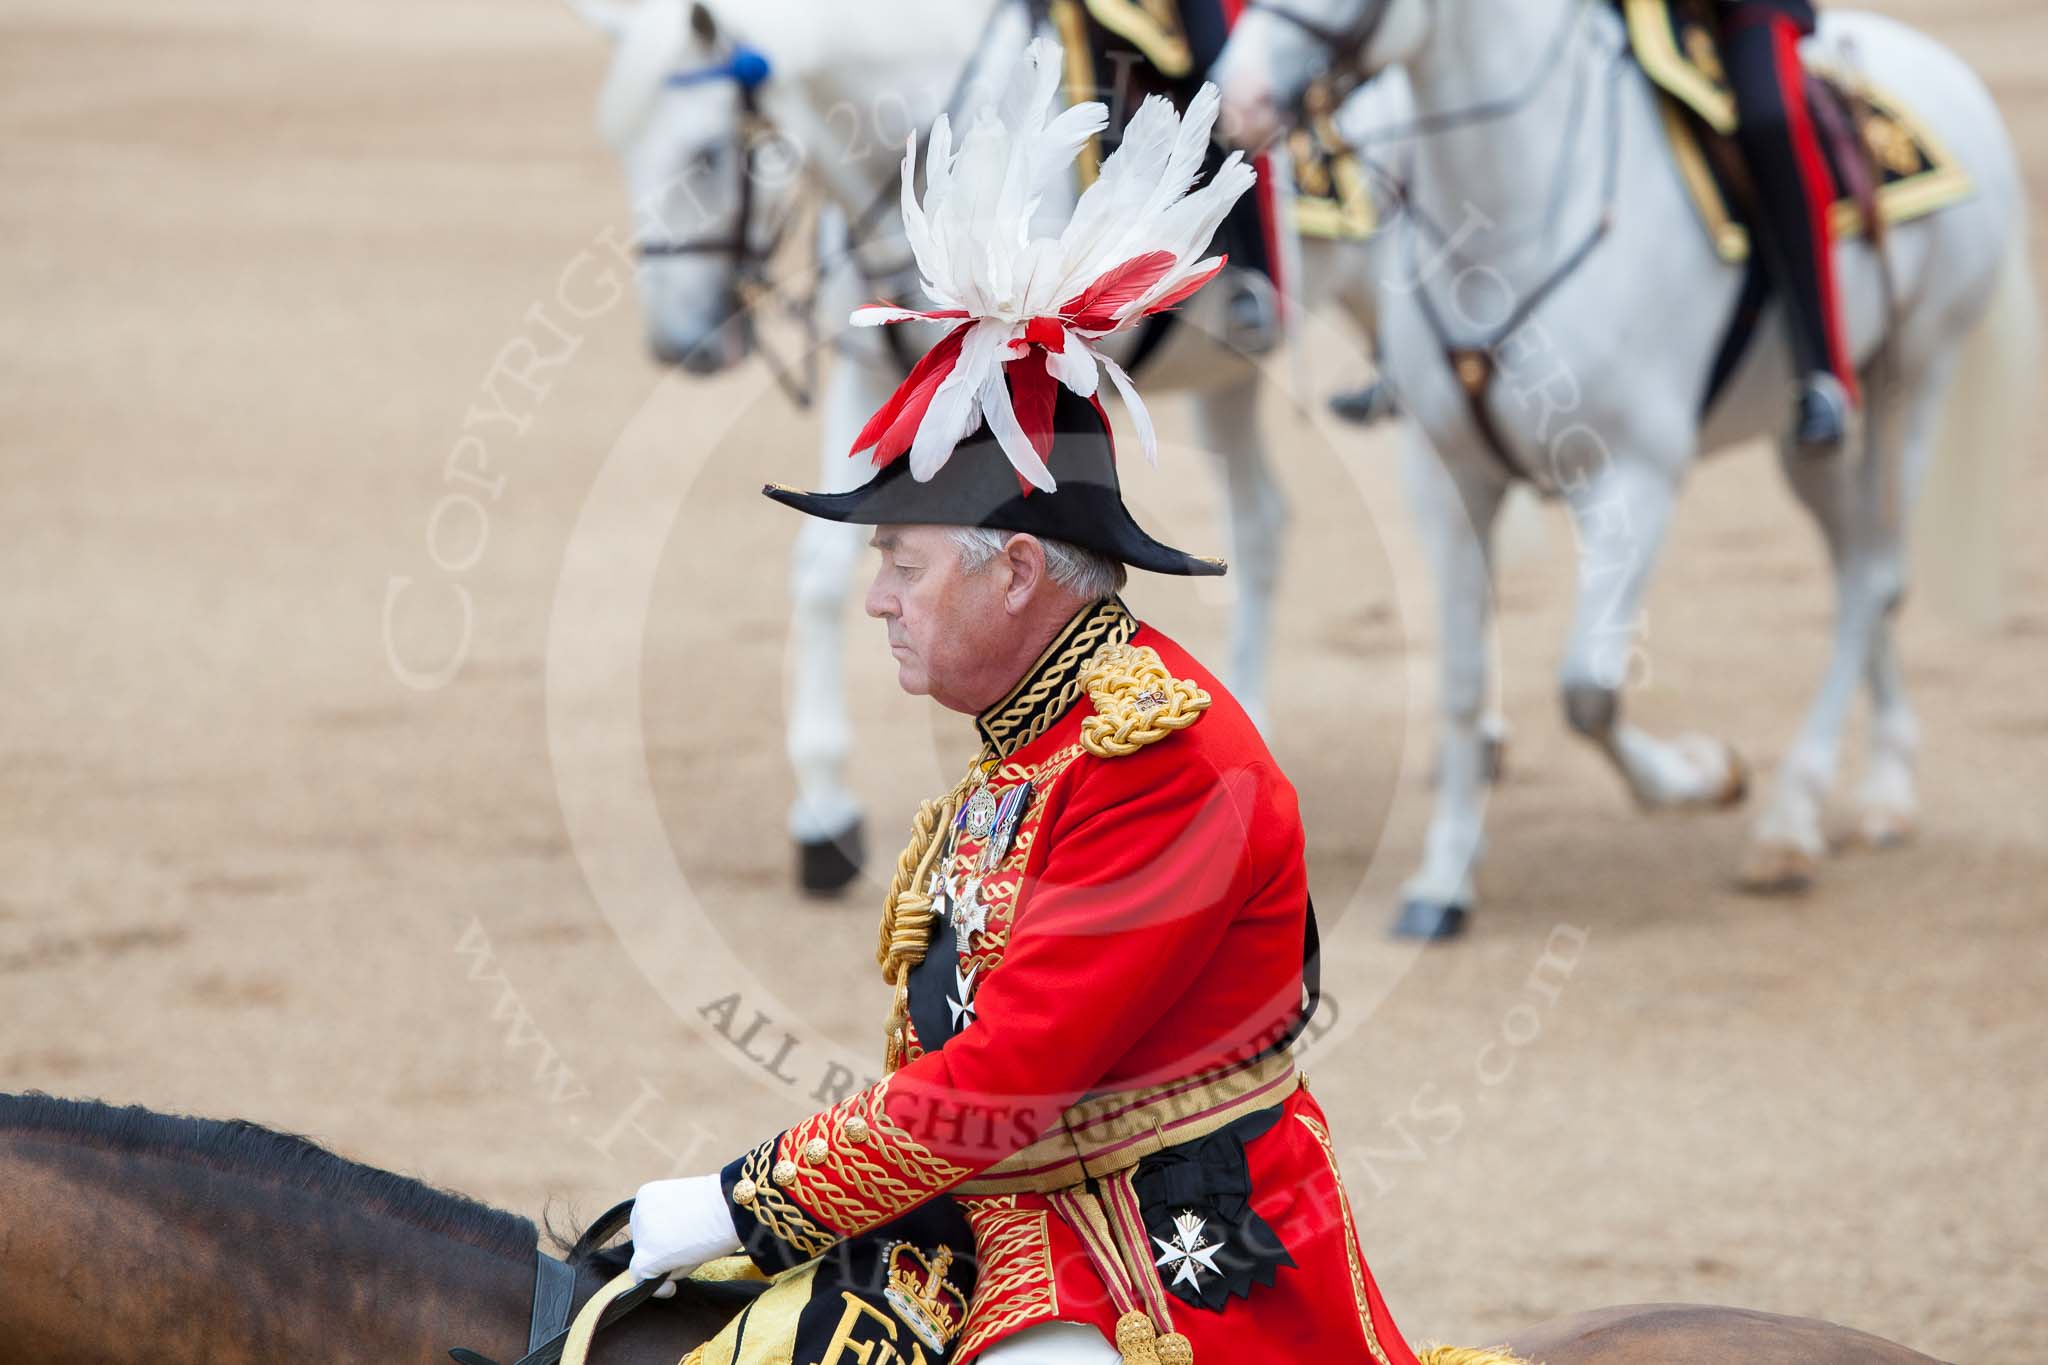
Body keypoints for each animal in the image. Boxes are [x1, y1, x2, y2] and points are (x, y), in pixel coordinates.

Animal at [569, 0, 1409, 892]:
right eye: (619, 146)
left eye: (705, 155)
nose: (676, 346)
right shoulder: (872, 378)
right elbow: (823, 568)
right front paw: (824, 812)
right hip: (1229, 379)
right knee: (1259, 525)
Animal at [1212, 0, 2031, 941]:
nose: (1239, 99)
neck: (1520, 207)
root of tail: (1949, 73)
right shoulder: (1449, 477)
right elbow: (1463, 681)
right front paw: (1445, 878)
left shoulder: (1633, 479)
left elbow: (1588, 689)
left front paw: (1699, 776)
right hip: (1807, 444)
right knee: (1860, 566)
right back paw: (1882, 785)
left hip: (1911, 386)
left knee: (1875, 579)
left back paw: (1796, 817)